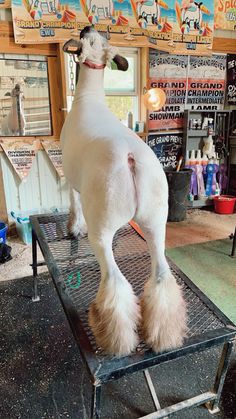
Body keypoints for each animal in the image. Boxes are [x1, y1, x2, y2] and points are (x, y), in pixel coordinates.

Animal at [60, 26, 186, 356]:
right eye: (98, 38)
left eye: (88, 38)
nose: (88, 27)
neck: (89, 98)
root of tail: (131, 160)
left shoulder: (68, 173)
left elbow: (72, 200)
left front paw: (73, 228)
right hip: (156, 219)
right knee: (161, 277)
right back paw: (164, 337)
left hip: (102, 225)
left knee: (115, 285)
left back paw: (115, 342)